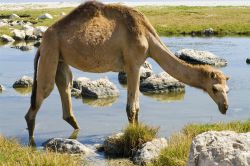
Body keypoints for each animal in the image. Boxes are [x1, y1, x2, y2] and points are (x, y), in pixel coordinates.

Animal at [24, 0, 229, 145]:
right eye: (215, 89)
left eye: (228, 89)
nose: (225, 107)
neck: (149, 38)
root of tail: (42, 41)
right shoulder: (133, 64)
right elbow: (131, 108)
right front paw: (133, 137)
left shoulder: (136, 64)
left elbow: (136, 107)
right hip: (51, 50)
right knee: (42, 93)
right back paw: (32, 143)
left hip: (60, 57)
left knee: (64, 84)